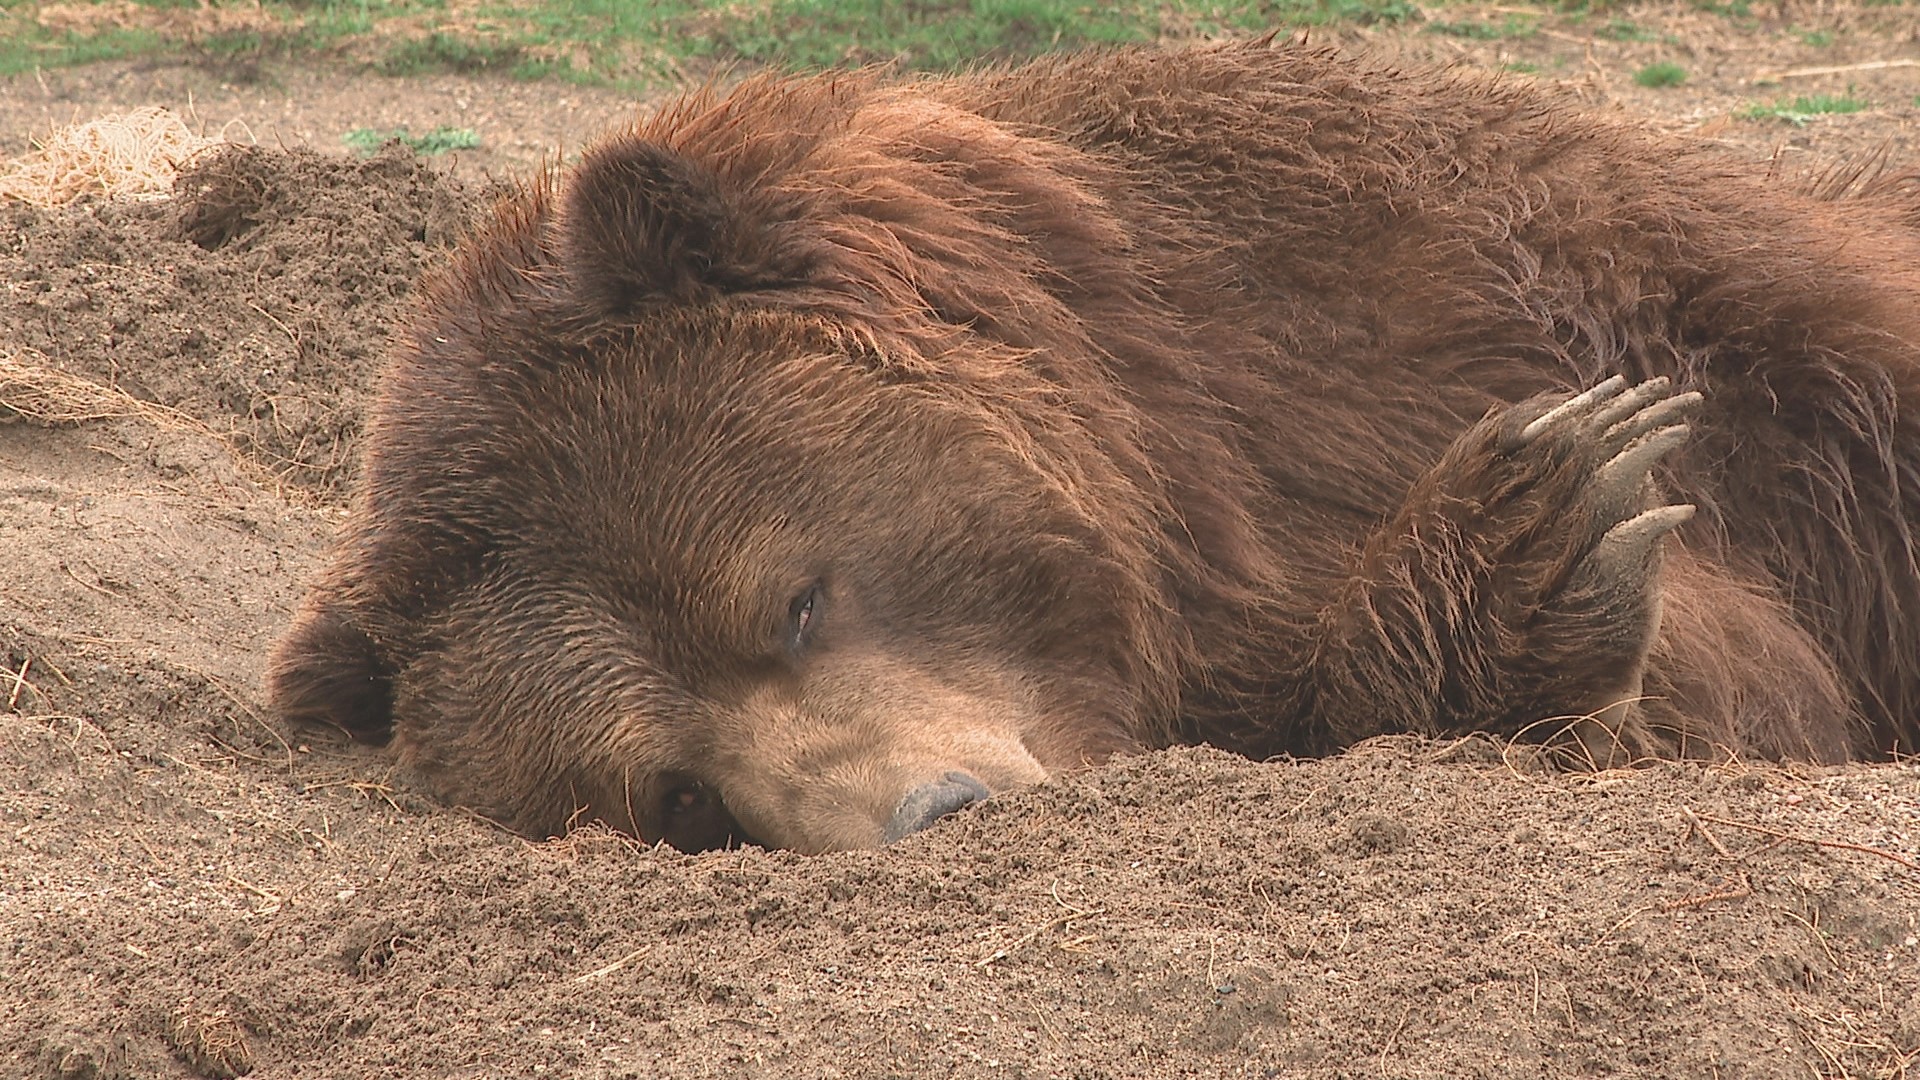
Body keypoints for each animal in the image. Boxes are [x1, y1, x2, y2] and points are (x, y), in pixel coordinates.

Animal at [266, 39, 1920, 849]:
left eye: (793, 602)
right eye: (678, 796)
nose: (933, 817)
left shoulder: (1476, 257)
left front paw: (1563, 483)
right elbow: (1706, 676)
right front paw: (1548, 527)